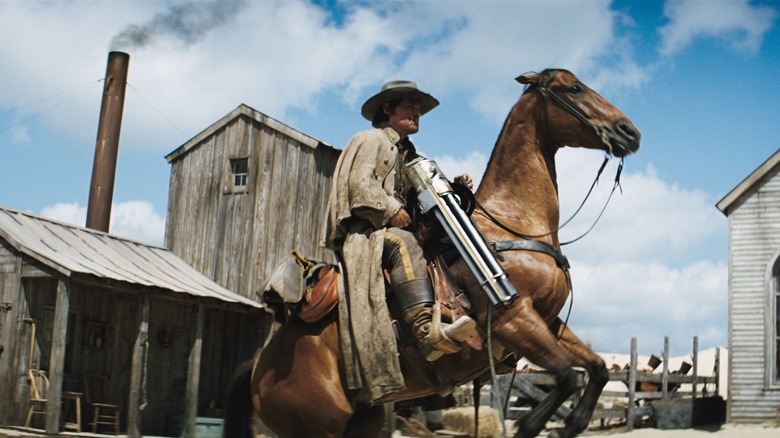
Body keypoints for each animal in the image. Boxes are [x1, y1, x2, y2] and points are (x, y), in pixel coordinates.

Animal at [224, 70, 640, 438]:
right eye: (573, 88)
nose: (629, 132)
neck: (513, 224)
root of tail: (258, 365)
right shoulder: (515, 319)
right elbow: (568, 377)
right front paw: (531, 425)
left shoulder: (549, 322)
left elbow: (597, 369)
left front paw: (569, 424)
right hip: (317, 429)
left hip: (364, 422)